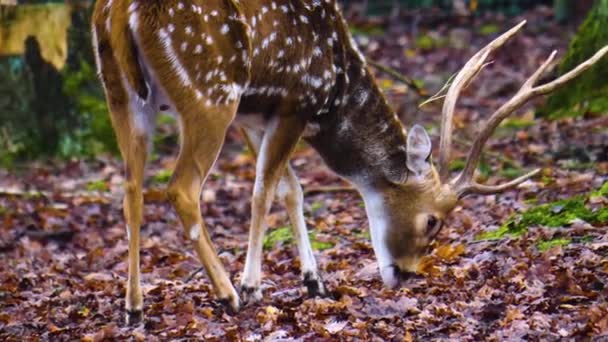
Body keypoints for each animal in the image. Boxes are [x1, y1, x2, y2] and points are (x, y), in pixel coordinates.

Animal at [91, 0, 608, 324]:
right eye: (433, 222)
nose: (406, 275)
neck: (336, 92)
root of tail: (118, 13)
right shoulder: (295, 100)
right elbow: (263, 189)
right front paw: (255, 285)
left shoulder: (257, 112)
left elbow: (291, 188)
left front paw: (314, 281)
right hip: (209, 90)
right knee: (180, 188)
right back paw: (228, 294)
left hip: (122, 92)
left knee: (130, 188)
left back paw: (134, 309)